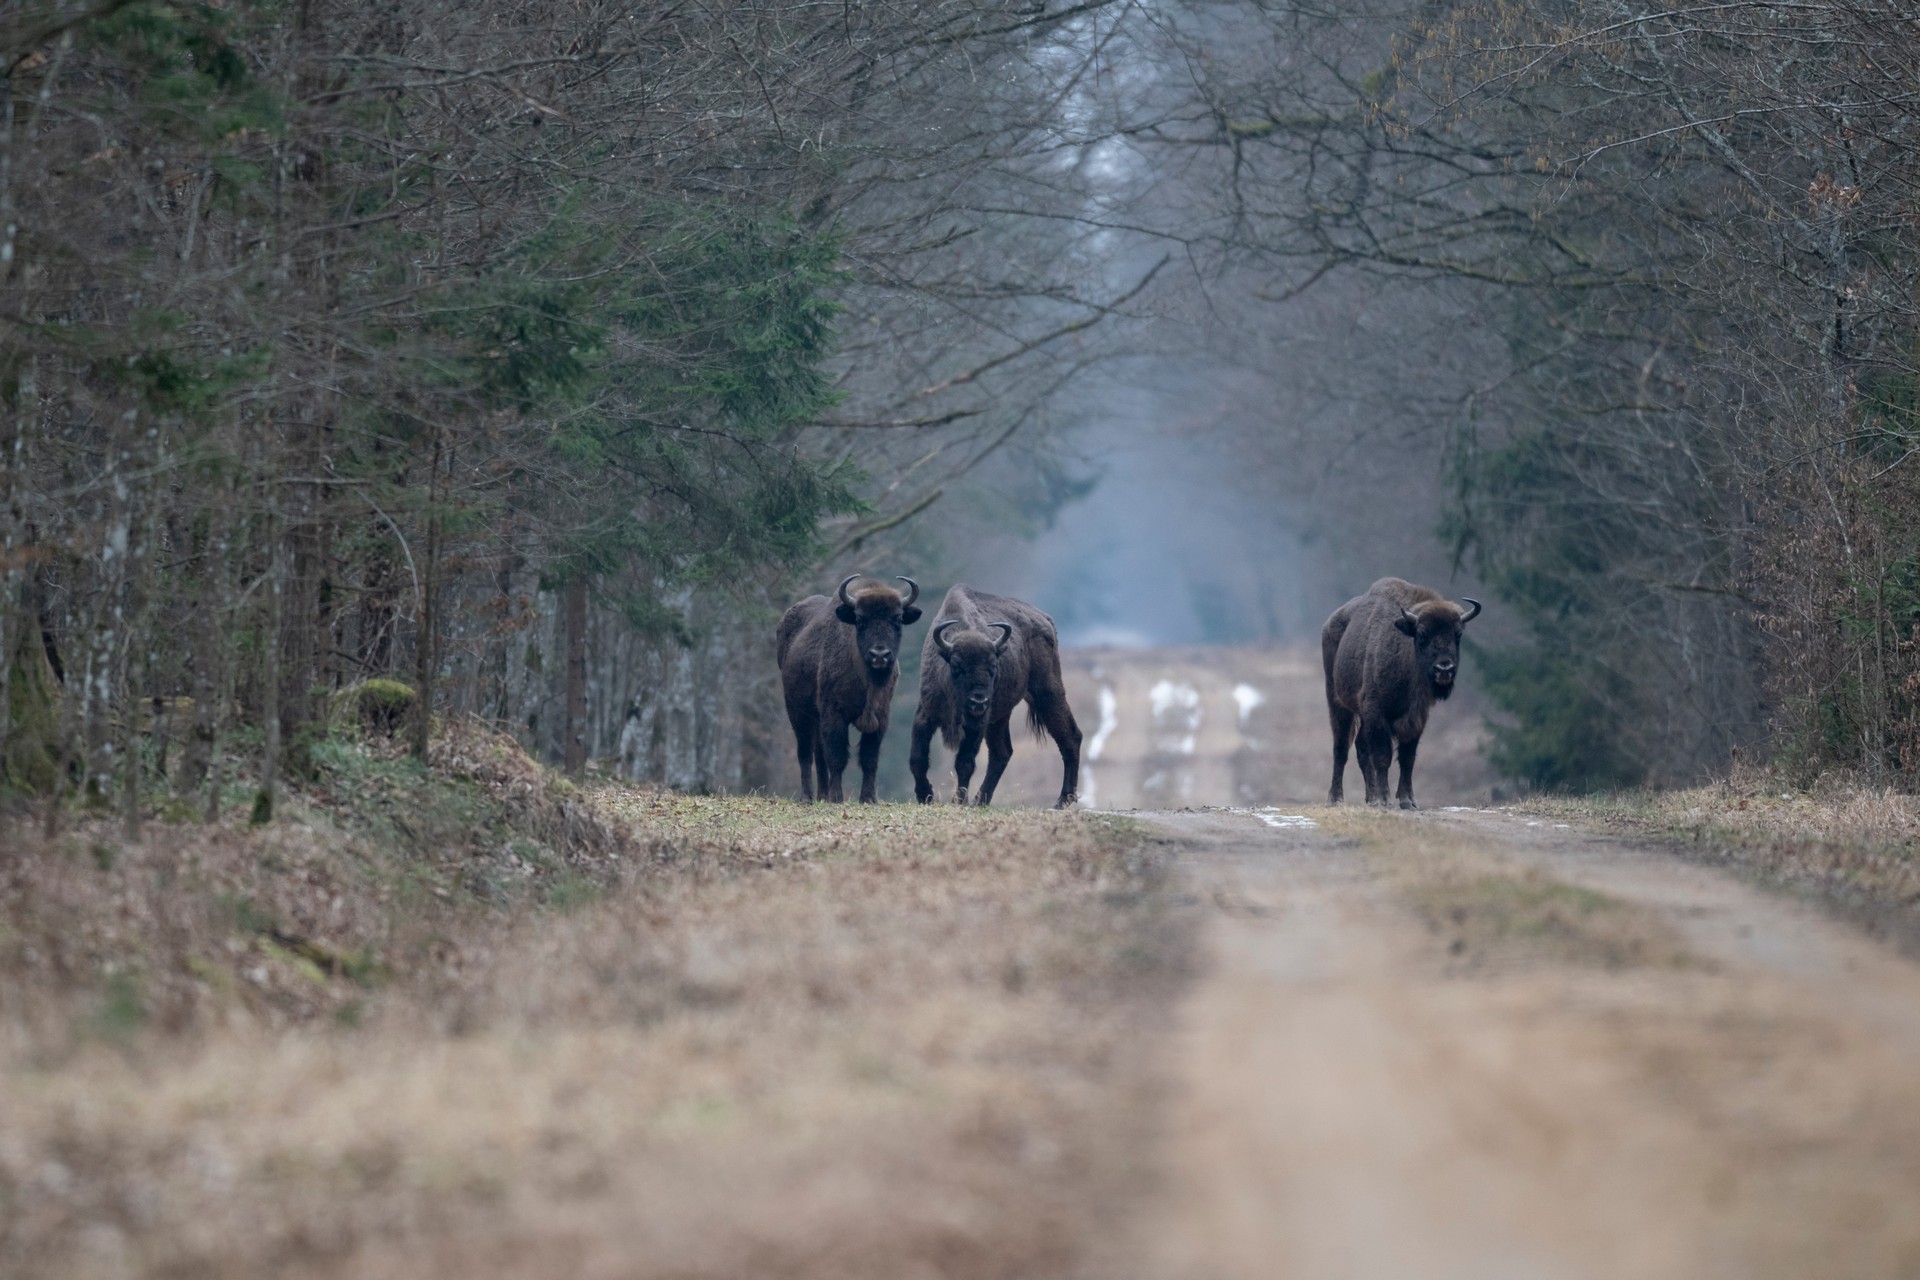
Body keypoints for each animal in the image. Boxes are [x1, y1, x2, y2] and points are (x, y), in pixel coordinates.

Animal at [776, 574, 922, 803]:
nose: (879, 655)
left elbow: (869, 758)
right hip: (798, 712)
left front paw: (869, 798)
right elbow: (837, 757)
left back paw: (822, 795)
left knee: (818, 754)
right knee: (805, 753)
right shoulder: (834, 715)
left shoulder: (881, 717)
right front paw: (837, 797)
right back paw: (808, 797)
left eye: (898, 619)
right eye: (860, 620)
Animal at [909, 584, 1082, 808]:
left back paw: (1062, 800)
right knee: (1002, 752)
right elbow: (917, 758)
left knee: (1070, 737)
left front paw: (958, 801)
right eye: (957, 666)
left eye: (993, 667)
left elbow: (964, 762)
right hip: (1001, 715)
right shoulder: (925, 714)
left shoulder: (976, 725)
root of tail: (1046, 620)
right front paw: (925, 796)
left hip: (1047, 694)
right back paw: (980, 800)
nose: (979, 701)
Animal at [1322, 577, 1482, 809]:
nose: (1444, 669)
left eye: (1458, 635)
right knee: (1341, 748)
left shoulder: (1417, 718)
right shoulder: (1377, 712)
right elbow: (1383, 756)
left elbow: (1407, 757)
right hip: (1337, 703)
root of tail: (1330, 624)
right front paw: (1385, 799)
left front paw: (1408, 800)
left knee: (1361, 749)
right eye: (1422, 635)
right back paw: (1336, 799)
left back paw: (1371, 799)